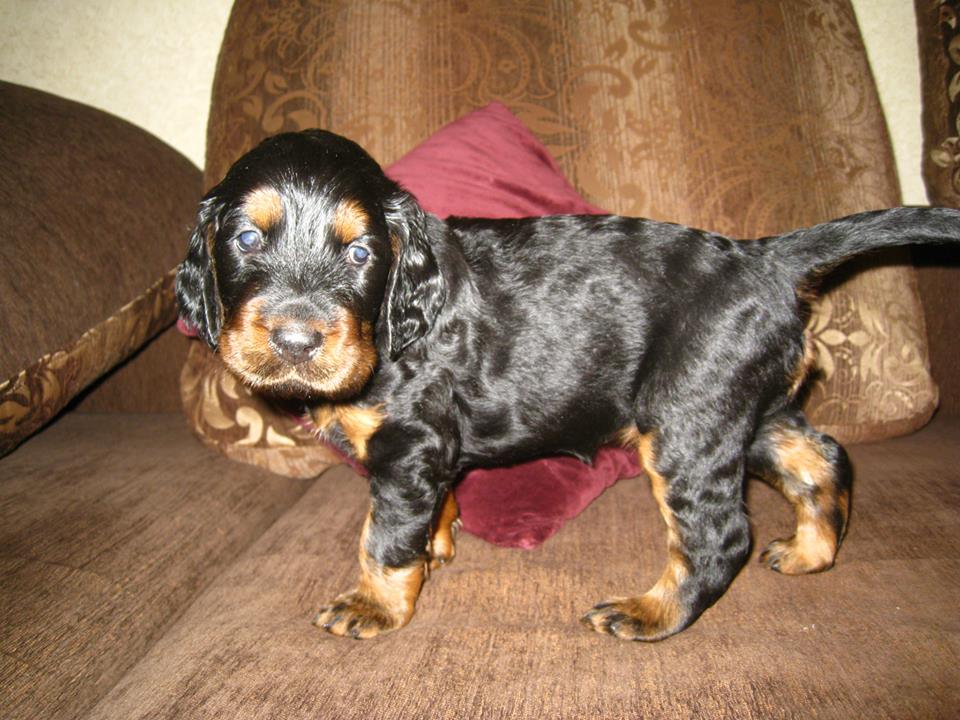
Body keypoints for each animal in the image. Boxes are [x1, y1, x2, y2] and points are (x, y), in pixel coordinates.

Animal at [176, 129, 959, 642]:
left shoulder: (408, 443)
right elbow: (437, 504)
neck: (401, 313)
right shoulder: (433, 449)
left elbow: (383, 536)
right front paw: (437, 542)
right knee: (822, 458)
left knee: (719, 534)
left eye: (362, 253)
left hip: (688, 423)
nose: (296, 341)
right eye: (246, 240)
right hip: (746, 409)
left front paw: (375, 606)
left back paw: (648, 615)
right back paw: (810, 553)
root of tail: (762, 257)